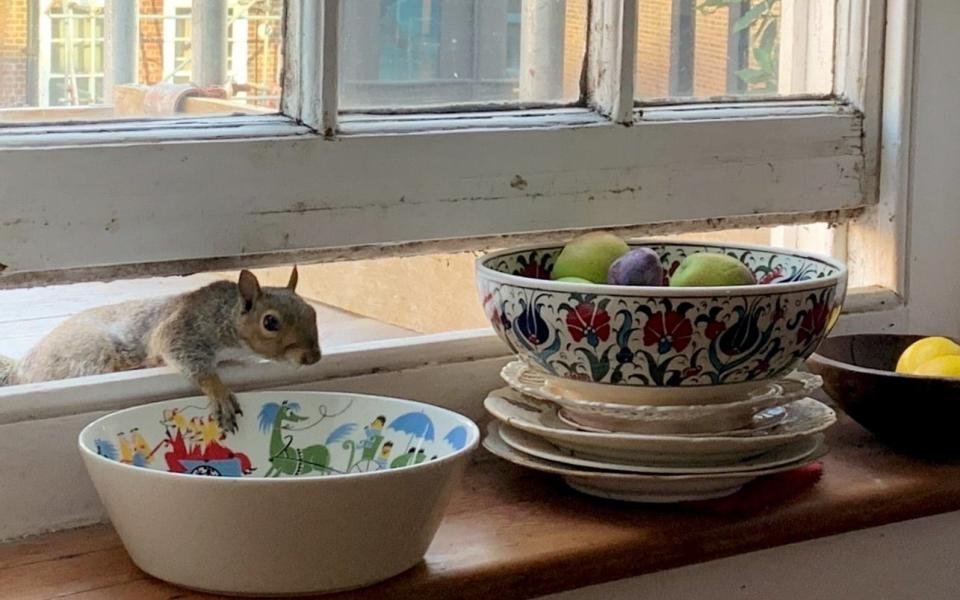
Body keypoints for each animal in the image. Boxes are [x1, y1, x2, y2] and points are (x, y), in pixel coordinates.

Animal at [0, 268, 322, 432]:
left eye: (312, 311)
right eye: (270, 322)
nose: (314, 357)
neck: (225, 317)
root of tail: (20, 369)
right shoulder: (184, 329)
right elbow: (186, 357)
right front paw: (218, 391)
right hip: (90, 355)